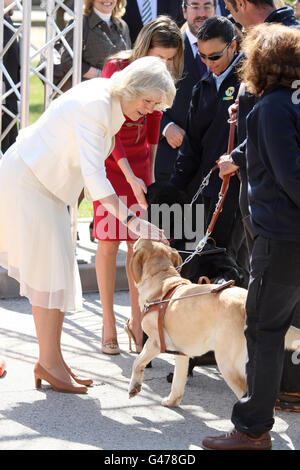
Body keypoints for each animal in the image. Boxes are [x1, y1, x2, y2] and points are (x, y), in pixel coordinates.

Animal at [128, 241, 300, 406]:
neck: (164, 280)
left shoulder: (155, 342)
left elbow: (137, 362)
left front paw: (134, 387)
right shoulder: (182, 352)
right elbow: (178, 381)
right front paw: (172, 401)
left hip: (228, 362)